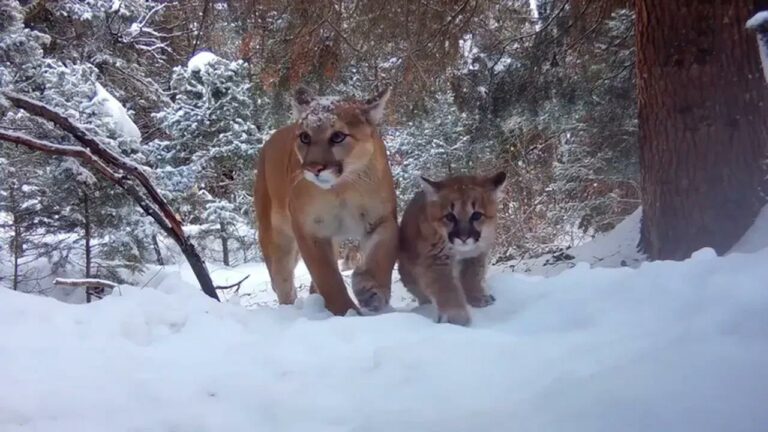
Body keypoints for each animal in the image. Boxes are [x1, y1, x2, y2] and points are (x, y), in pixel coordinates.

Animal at [254, 86, 396, 316]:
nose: (313, 168)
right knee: (283, 283)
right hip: (276, 238)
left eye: (338, 136)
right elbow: (327, 276)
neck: (342, 188)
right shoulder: (311, 229)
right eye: (305, 137)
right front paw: (346, 313)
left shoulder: (381, 218)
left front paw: (370, 291)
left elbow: (383, 252)